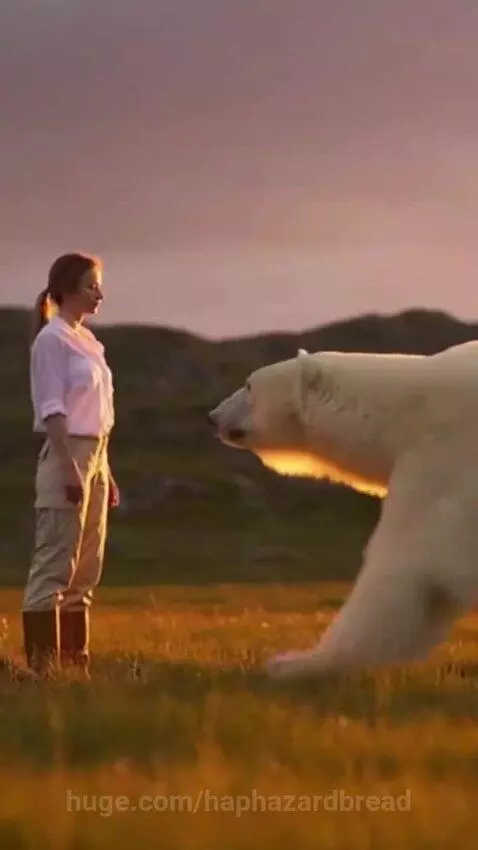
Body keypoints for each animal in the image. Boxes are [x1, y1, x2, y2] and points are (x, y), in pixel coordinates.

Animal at [207, 342, 478, 680]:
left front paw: (296, 663)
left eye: (249, 385)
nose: (212, 416)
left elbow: (404, 565)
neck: (404, 413)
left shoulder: (441, 462)